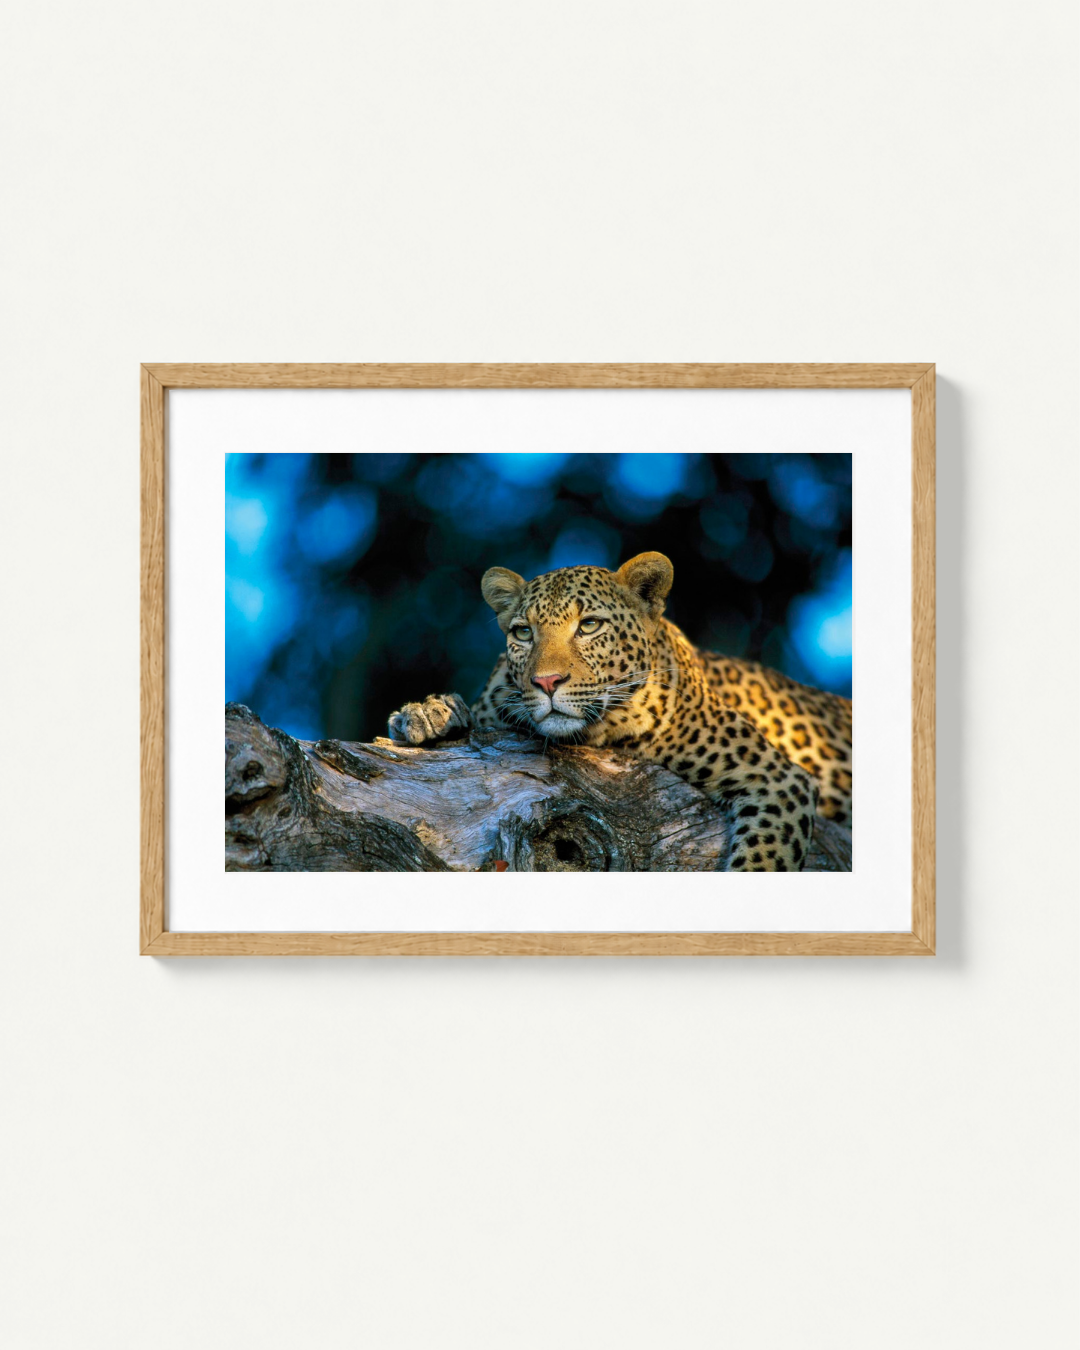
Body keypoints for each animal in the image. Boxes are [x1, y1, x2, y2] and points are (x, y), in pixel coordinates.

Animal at [387, 552, 852, 872]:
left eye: (589, 626)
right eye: (522, 633)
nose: (547, 682)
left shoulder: (776, 778)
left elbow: (761, 861)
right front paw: (428, 714)